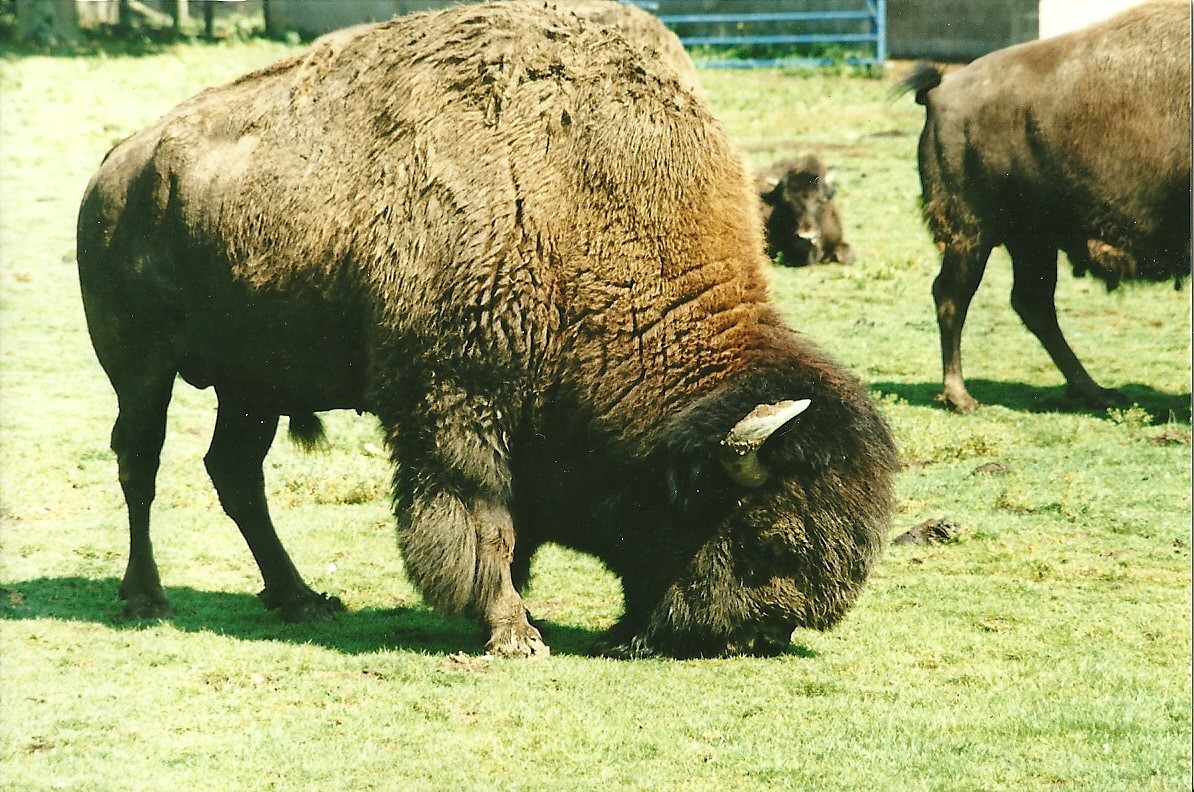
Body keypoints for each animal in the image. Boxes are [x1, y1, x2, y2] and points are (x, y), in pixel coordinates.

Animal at [77, 2, 898, 658]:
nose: (764, 633)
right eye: (767, 538)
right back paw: (148, 598)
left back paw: (301, 599)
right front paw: (513, 632)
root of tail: (115, 166)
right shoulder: (458, 405)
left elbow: (513, 525)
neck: (585, 205)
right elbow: (484, 519)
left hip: (252, 385)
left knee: (235, 472)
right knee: (140, 462)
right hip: (140, 367)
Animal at [901, 0, 1191, 414]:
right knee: (953, 296)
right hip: (974, 233)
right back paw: (961, 397)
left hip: (1032, 240)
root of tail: (944, 89)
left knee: (1031, 303)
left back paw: (1097, 392)